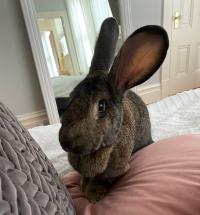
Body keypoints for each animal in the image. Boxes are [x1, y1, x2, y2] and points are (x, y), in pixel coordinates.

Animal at [59, 17, 169, 203]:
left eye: (101, 106)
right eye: (70, 98)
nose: (66, 141)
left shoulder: (117, 169)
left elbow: (103, 180)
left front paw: (94, 194)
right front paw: (83, 184)